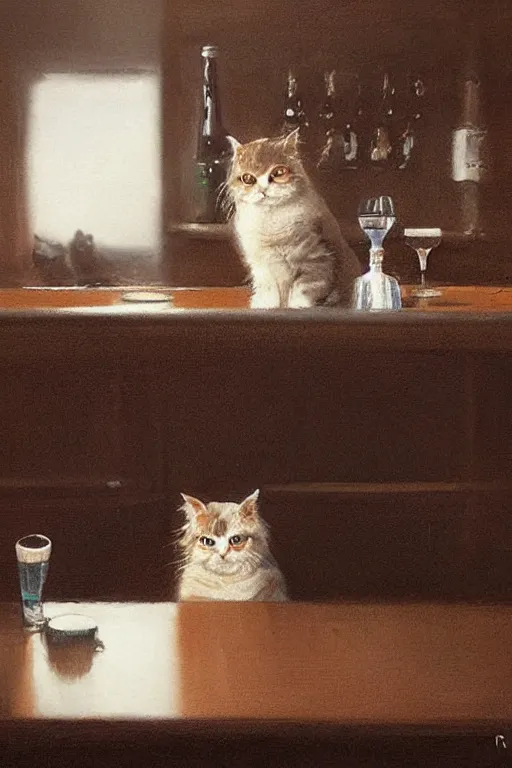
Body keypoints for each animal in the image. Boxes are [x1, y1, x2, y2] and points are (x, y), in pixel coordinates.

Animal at [224, 131, 360, 308]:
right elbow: (269, 287)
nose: (263, 189)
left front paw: (297, 305)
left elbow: (305, 287)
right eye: (248, 178)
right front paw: (267, 304)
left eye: (279, 172)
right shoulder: (262, 265)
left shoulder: (316, 257)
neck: (271, 220)